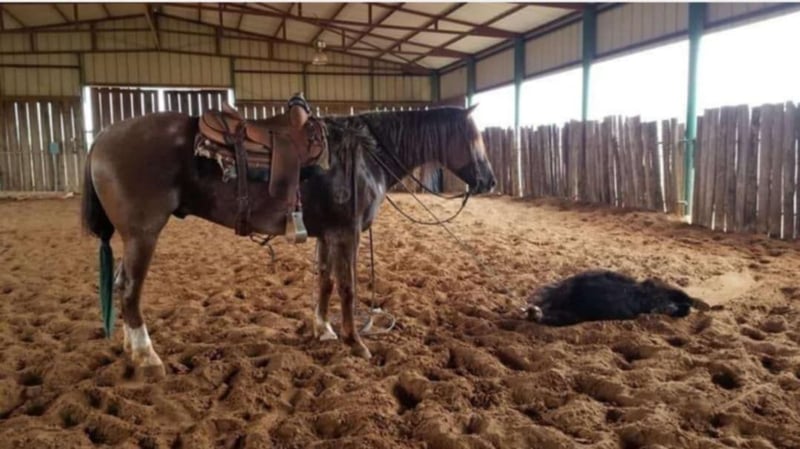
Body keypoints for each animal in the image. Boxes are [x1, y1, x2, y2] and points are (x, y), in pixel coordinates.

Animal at [81, 104, 495, 376]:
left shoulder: (328, 233)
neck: (364, 154)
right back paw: (146, 355)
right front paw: (355, 343)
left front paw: (324, 330)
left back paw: (130, 347)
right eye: (473, 137)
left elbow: (325, 281)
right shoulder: (346, 233)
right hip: (143, 234)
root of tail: (102, 137)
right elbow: (348, 287)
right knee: (130, 288)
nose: (489, 181)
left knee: (121, 285)